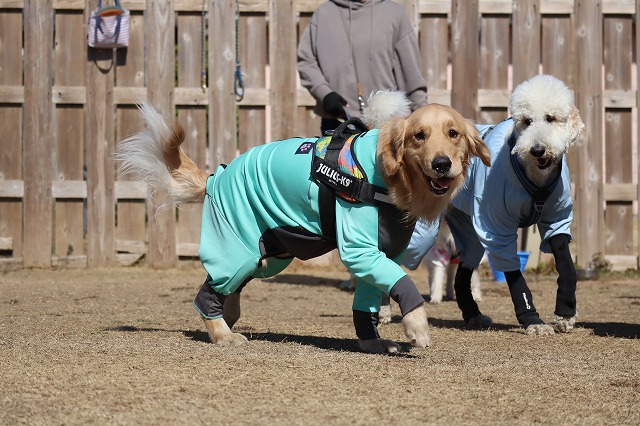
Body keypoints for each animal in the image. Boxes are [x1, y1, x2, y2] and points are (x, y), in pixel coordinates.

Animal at [115, 92, 492, 354]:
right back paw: (221, 332)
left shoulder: (380, 253)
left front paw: (372, 341)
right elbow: (403, 283)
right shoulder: (359, 250)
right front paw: (417, 326)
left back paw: (227, 319)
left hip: (270, 254)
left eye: (453, 133)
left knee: (229, 288)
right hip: (239, 249)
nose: (442, 164)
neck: (389, 177)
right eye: (419, 136)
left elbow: (369, 301)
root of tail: (216, 177)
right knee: (209, 291)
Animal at [445, 74, 584, 334]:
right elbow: (513, 274)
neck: (535, 178)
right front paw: (533, 320)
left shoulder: (557, 219)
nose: (537, 150)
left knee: (463, 271)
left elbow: (566, 264)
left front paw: (565, 312)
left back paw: (473, 314)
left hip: (469, 231)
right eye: (526, 121)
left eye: (551, 118)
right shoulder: (496, 227)